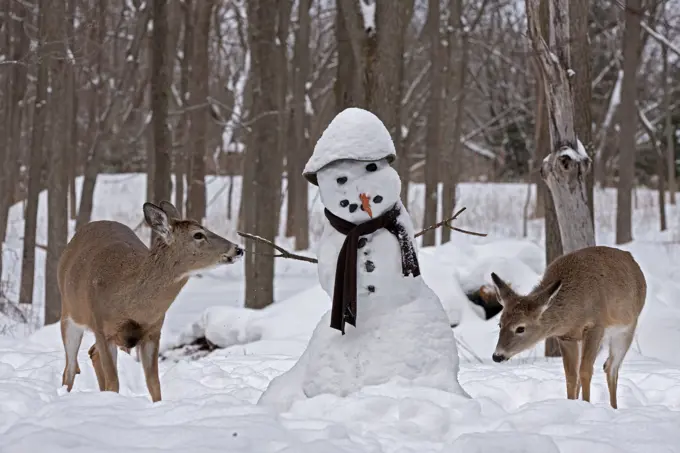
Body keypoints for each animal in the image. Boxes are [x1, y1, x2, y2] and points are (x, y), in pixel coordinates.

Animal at [57, 200, 244, 400]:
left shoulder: (153, 332)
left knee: (92, 353)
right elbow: (114, 383)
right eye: (198, 235)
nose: (238, 249)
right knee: (69, 368)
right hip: (69, 313)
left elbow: (154, 384)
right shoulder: (102, 329)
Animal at [492, 245, 644, 408]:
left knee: (611, 368)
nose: (497, 356)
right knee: (602, 366)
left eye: (520, 328)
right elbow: (571, 375)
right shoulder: (566, 337)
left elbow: (585, 371)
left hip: (626, 329)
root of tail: (631, 258)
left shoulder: (595, 326)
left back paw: (614, 408)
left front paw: (586, 404)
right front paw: (572, 404)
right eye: (500, 324)